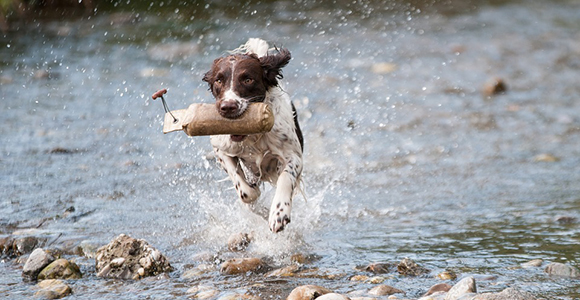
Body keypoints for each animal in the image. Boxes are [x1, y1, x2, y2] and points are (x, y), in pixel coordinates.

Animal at [203, 38, 304, 233]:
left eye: (248, 79)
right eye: (218, 80)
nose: (228, 107)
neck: (252, 136)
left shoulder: (294, 156)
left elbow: (286, 177)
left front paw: (279, 213)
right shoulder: (220, 148)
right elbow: (245, 191)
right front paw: (256, 198)